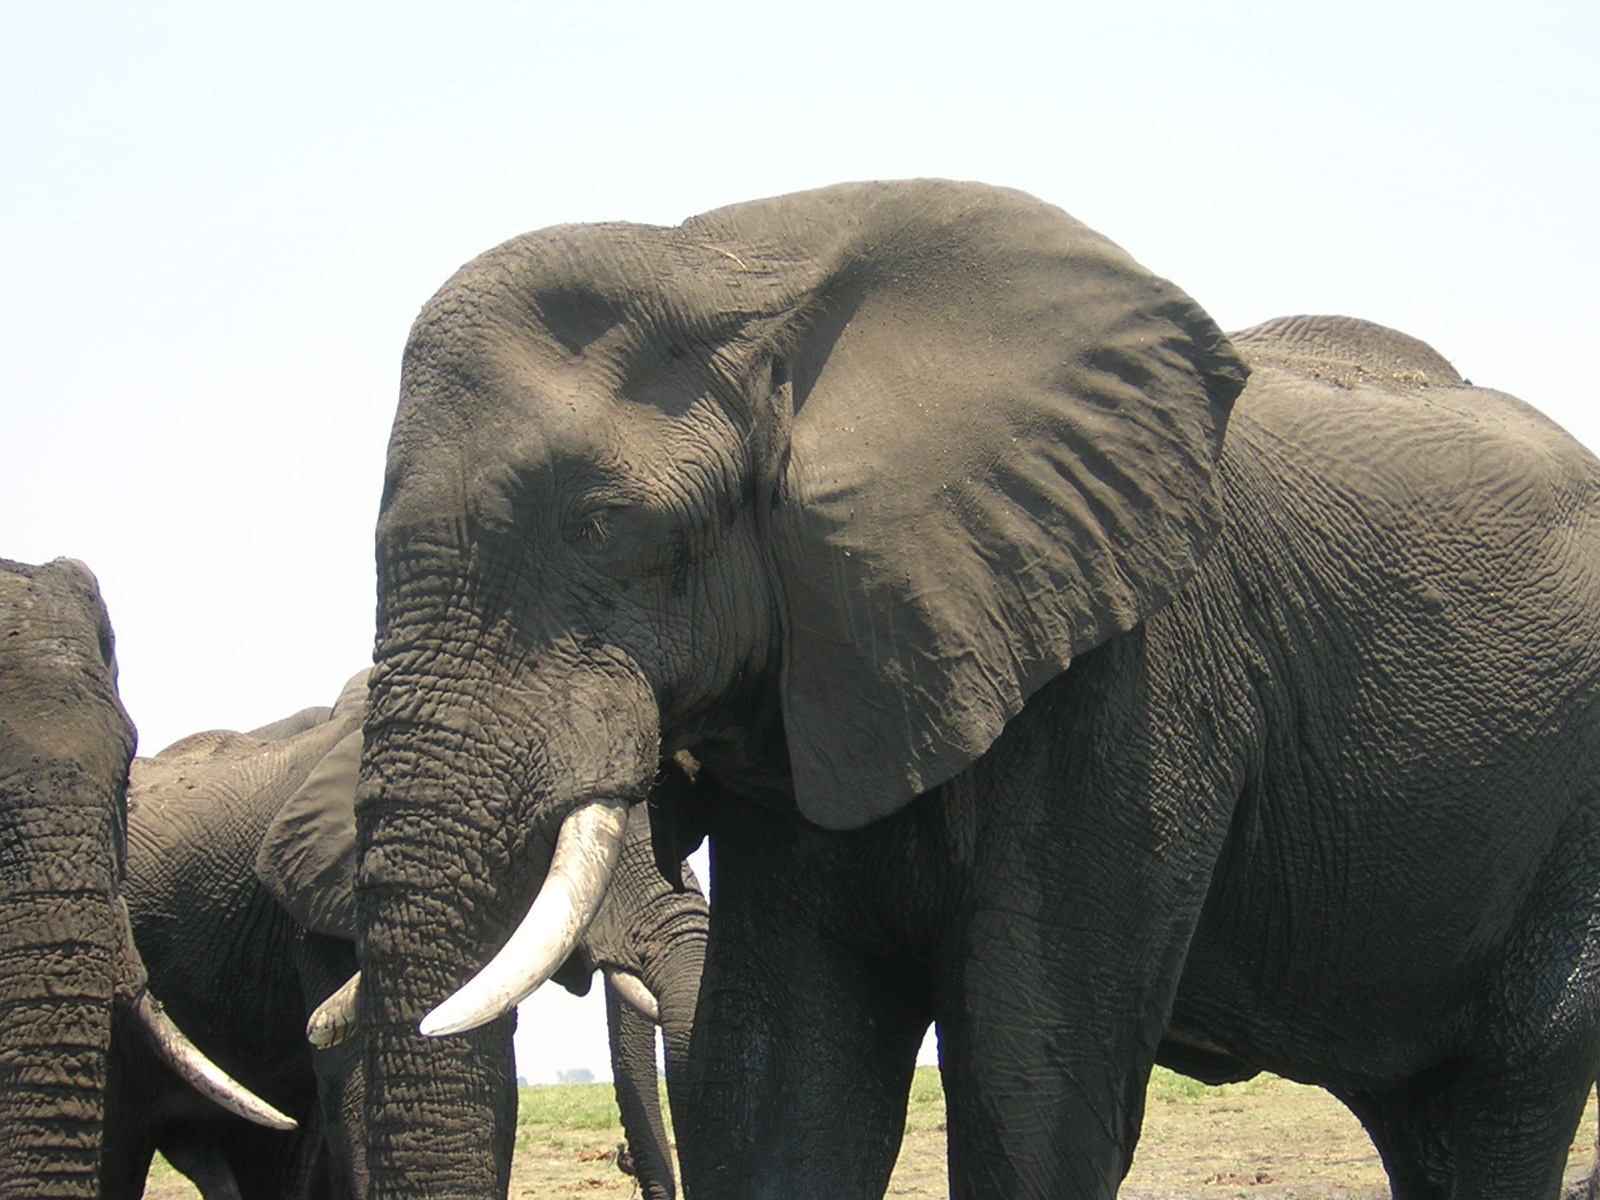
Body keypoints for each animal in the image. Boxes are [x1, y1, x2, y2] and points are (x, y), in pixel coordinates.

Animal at [348, 178, 1600, 1200]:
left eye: (601, 525)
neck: (737, 262)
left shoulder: (1129, 672)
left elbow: (1029, 1074)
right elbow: (787, 1085)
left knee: (1511, 1078)